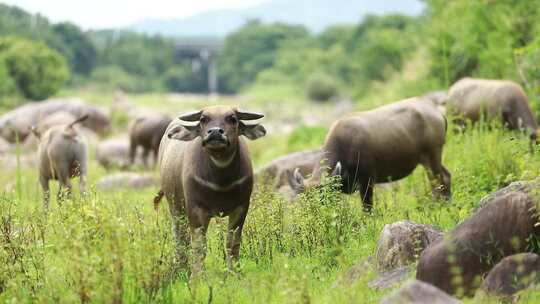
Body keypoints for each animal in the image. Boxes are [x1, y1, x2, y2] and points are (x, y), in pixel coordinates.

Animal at [154, 105, 266, 280]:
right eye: (203, 119)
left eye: (232, 119)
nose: (215, 132)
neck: (221, 182)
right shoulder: (195, 209)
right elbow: (200, 245)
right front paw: (197, 277)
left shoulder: (241, 207)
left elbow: (232, 243)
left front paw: (234, 272)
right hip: (175, 208)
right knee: (180, 236)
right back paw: (180, 267)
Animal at [286, 97, 452, 211]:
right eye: (303, 202)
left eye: (324, 200)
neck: (344, 145)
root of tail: (436, 113)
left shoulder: (367, 180)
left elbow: (367, 207)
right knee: (446, 176)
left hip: (432, 155)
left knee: (438, 181)